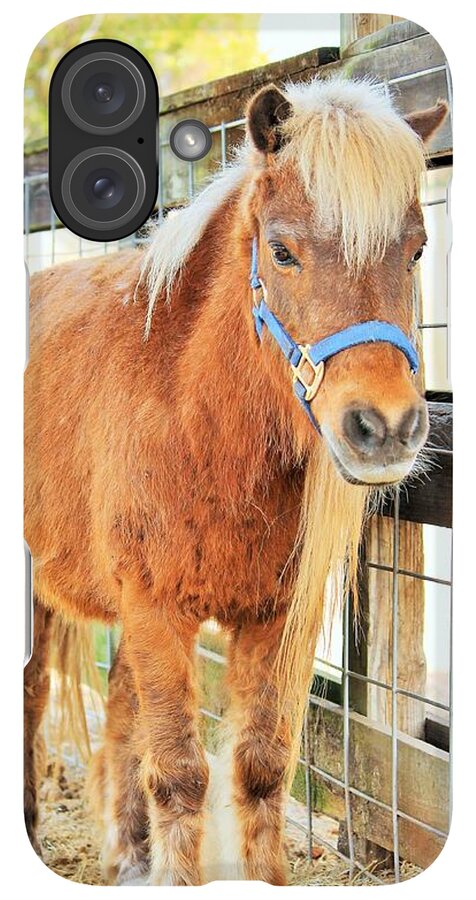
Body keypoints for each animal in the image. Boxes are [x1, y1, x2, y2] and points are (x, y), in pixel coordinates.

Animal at [24, 76, 447, 885]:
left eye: (416, 251)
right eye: (281, 251)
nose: (385, 427)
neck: (198, 422)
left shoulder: (274, 617)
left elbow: (259, 767)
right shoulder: (156, 609)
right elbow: (180, 774)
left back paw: (128, 856)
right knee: (33, 691)